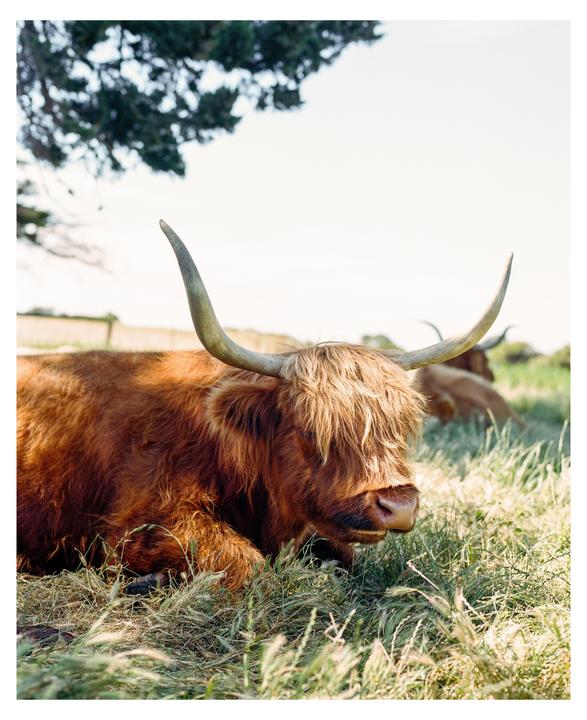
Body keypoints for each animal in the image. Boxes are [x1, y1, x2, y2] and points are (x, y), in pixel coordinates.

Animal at [17, 220, 512, 592]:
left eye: (401, 428)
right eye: (312, 431)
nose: (400, 505)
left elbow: (344, 556)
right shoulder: (139, 522)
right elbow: (248, 565)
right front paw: (148, 582)